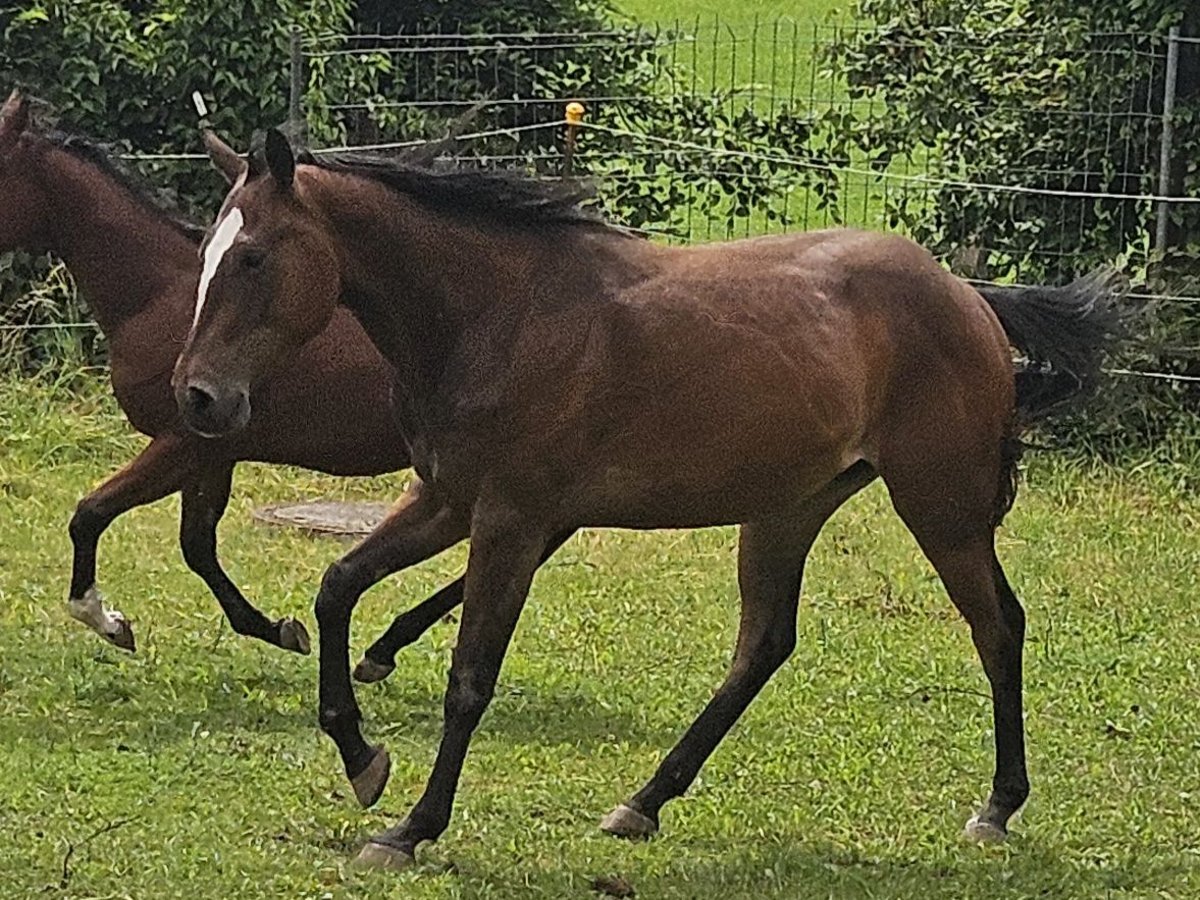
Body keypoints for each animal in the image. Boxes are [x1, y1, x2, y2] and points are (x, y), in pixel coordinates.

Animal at [0, 90, 475, 671]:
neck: (162, 296)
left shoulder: (181, 442)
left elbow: (90, 514)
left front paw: (108, 621)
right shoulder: (212, 451)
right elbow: (196, 547)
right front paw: (280, 629)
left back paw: (385, 648)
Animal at [174, 126, 1119, 870]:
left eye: (253, 257)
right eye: (204, 255)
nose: (199, 398)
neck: (497, 315)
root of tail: (969, 298)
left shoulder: (511, 520)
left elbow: (469, 678)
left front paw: (410, 828)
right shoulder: (444, 499)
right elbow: (337, 587)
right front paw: (362, 759)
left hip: (940, 506)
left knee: (997, 627)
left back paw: (996, 808)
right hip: (788, 508)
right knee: (762, 647)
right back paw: (643, 801)